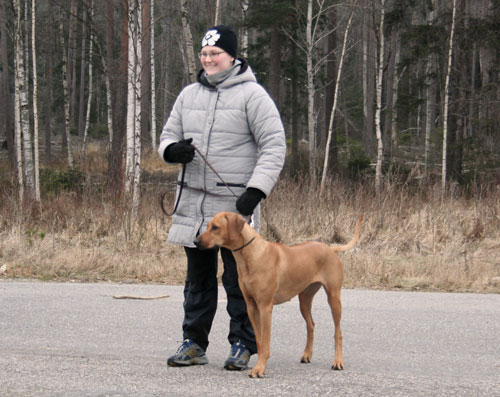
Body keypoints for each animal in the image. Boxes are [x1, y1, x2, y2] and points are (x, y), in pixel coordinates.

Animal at [193, 212, 362, 376]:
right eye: (207, 225)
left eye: (215, 227)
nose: (195, 241)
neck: (251, 254)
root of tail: (331, 249)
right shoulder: (252, 307)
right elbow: (259, 341)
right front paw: (259, 365)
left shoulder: (265, 308)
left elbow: (265, 341)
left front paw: (260, 369)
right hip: (304, 300)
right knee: (311, 325)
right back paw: (307, 354)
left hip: (333, 297)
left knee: (338, 332)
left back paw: (338, 362)